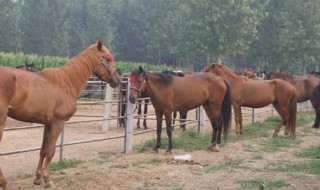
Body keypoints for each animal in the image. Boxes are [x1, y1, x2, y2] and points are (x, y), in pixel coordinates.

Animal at [0, 40, 121, 189]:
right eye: (108, 59)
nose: (117, 80)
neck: (66, 84)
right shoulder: (58, 123)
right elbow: (51, 151)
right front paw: (48, 180)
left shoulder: (48, 124)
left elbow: (43, 150)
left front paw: (38, 178)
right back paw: (5, 184)